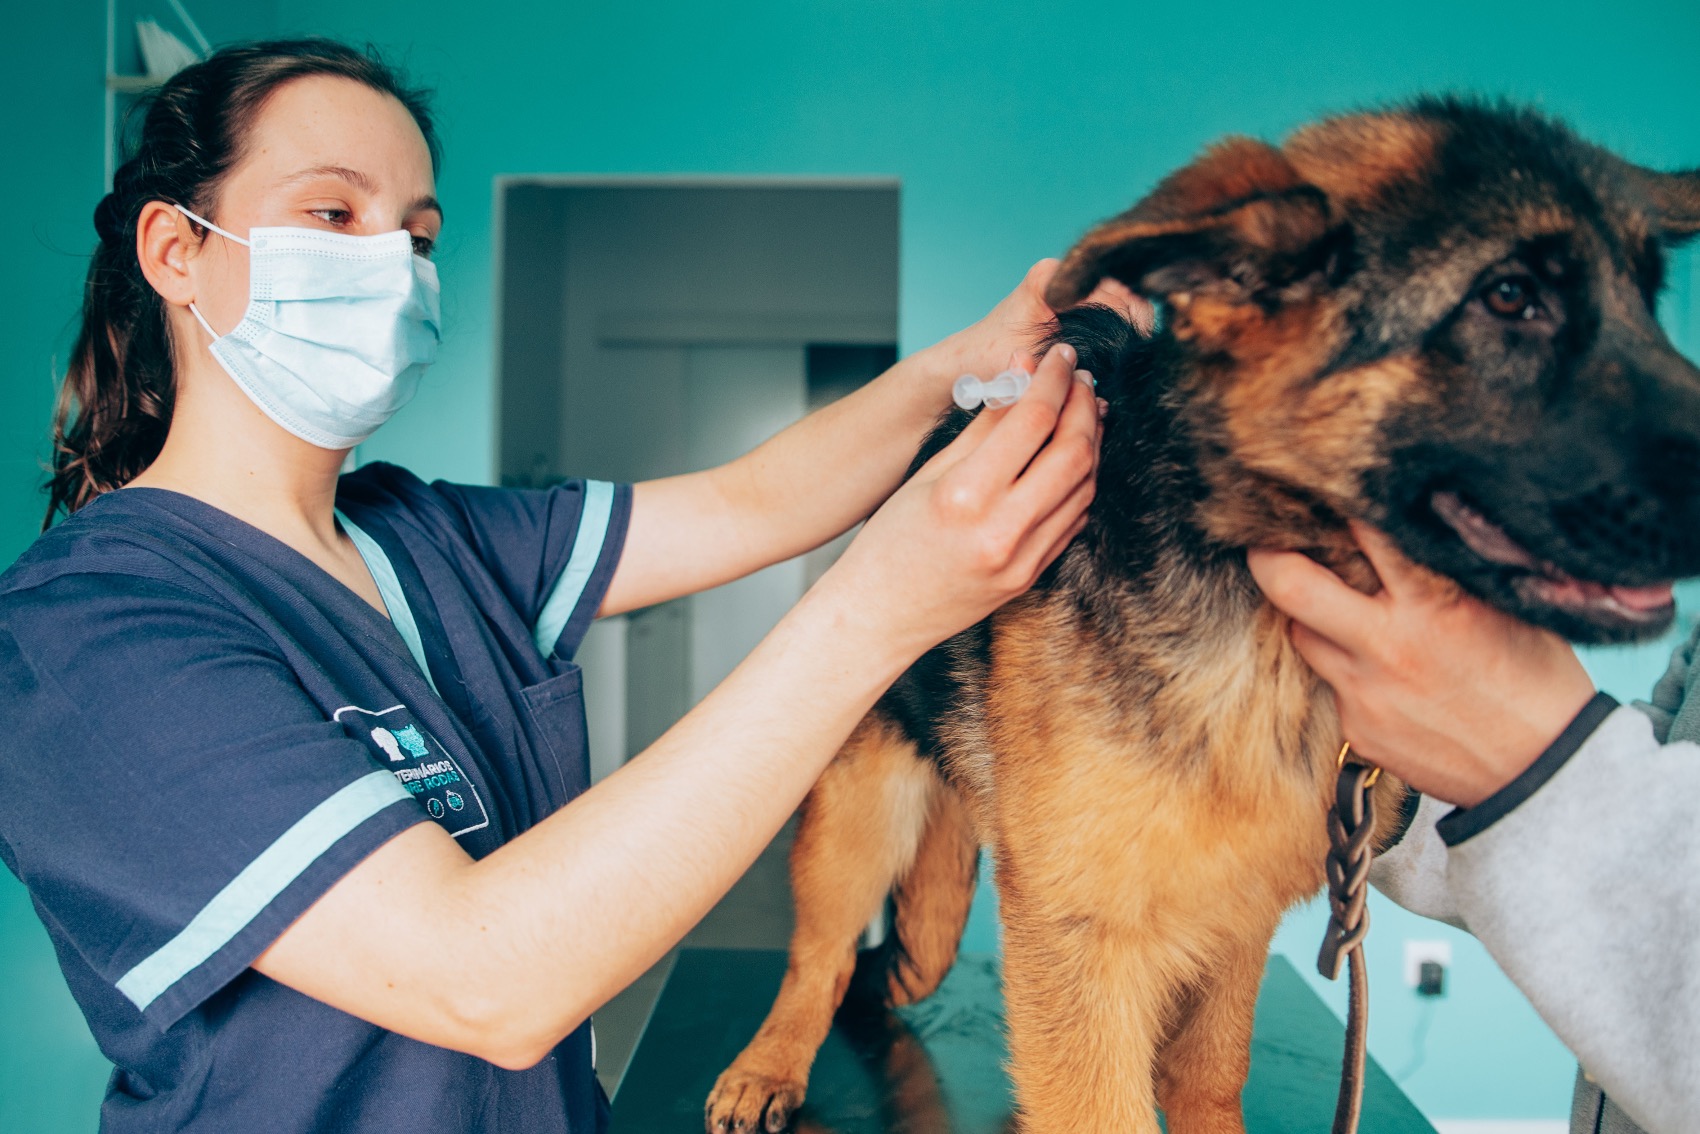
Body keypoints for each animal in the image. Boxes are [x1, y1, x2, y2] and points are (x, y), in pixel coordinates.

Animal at [703, 97, 1700, 1134]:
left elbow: (1207, 1072)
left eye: (1647, 302)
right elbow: (1101, 1101)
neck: (1257, 611)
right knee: (818, 958)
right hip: (859, 813)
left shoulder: (1237, 907)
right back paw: (768, 1065)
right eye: (1510, 298)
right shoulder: (1079, 931)